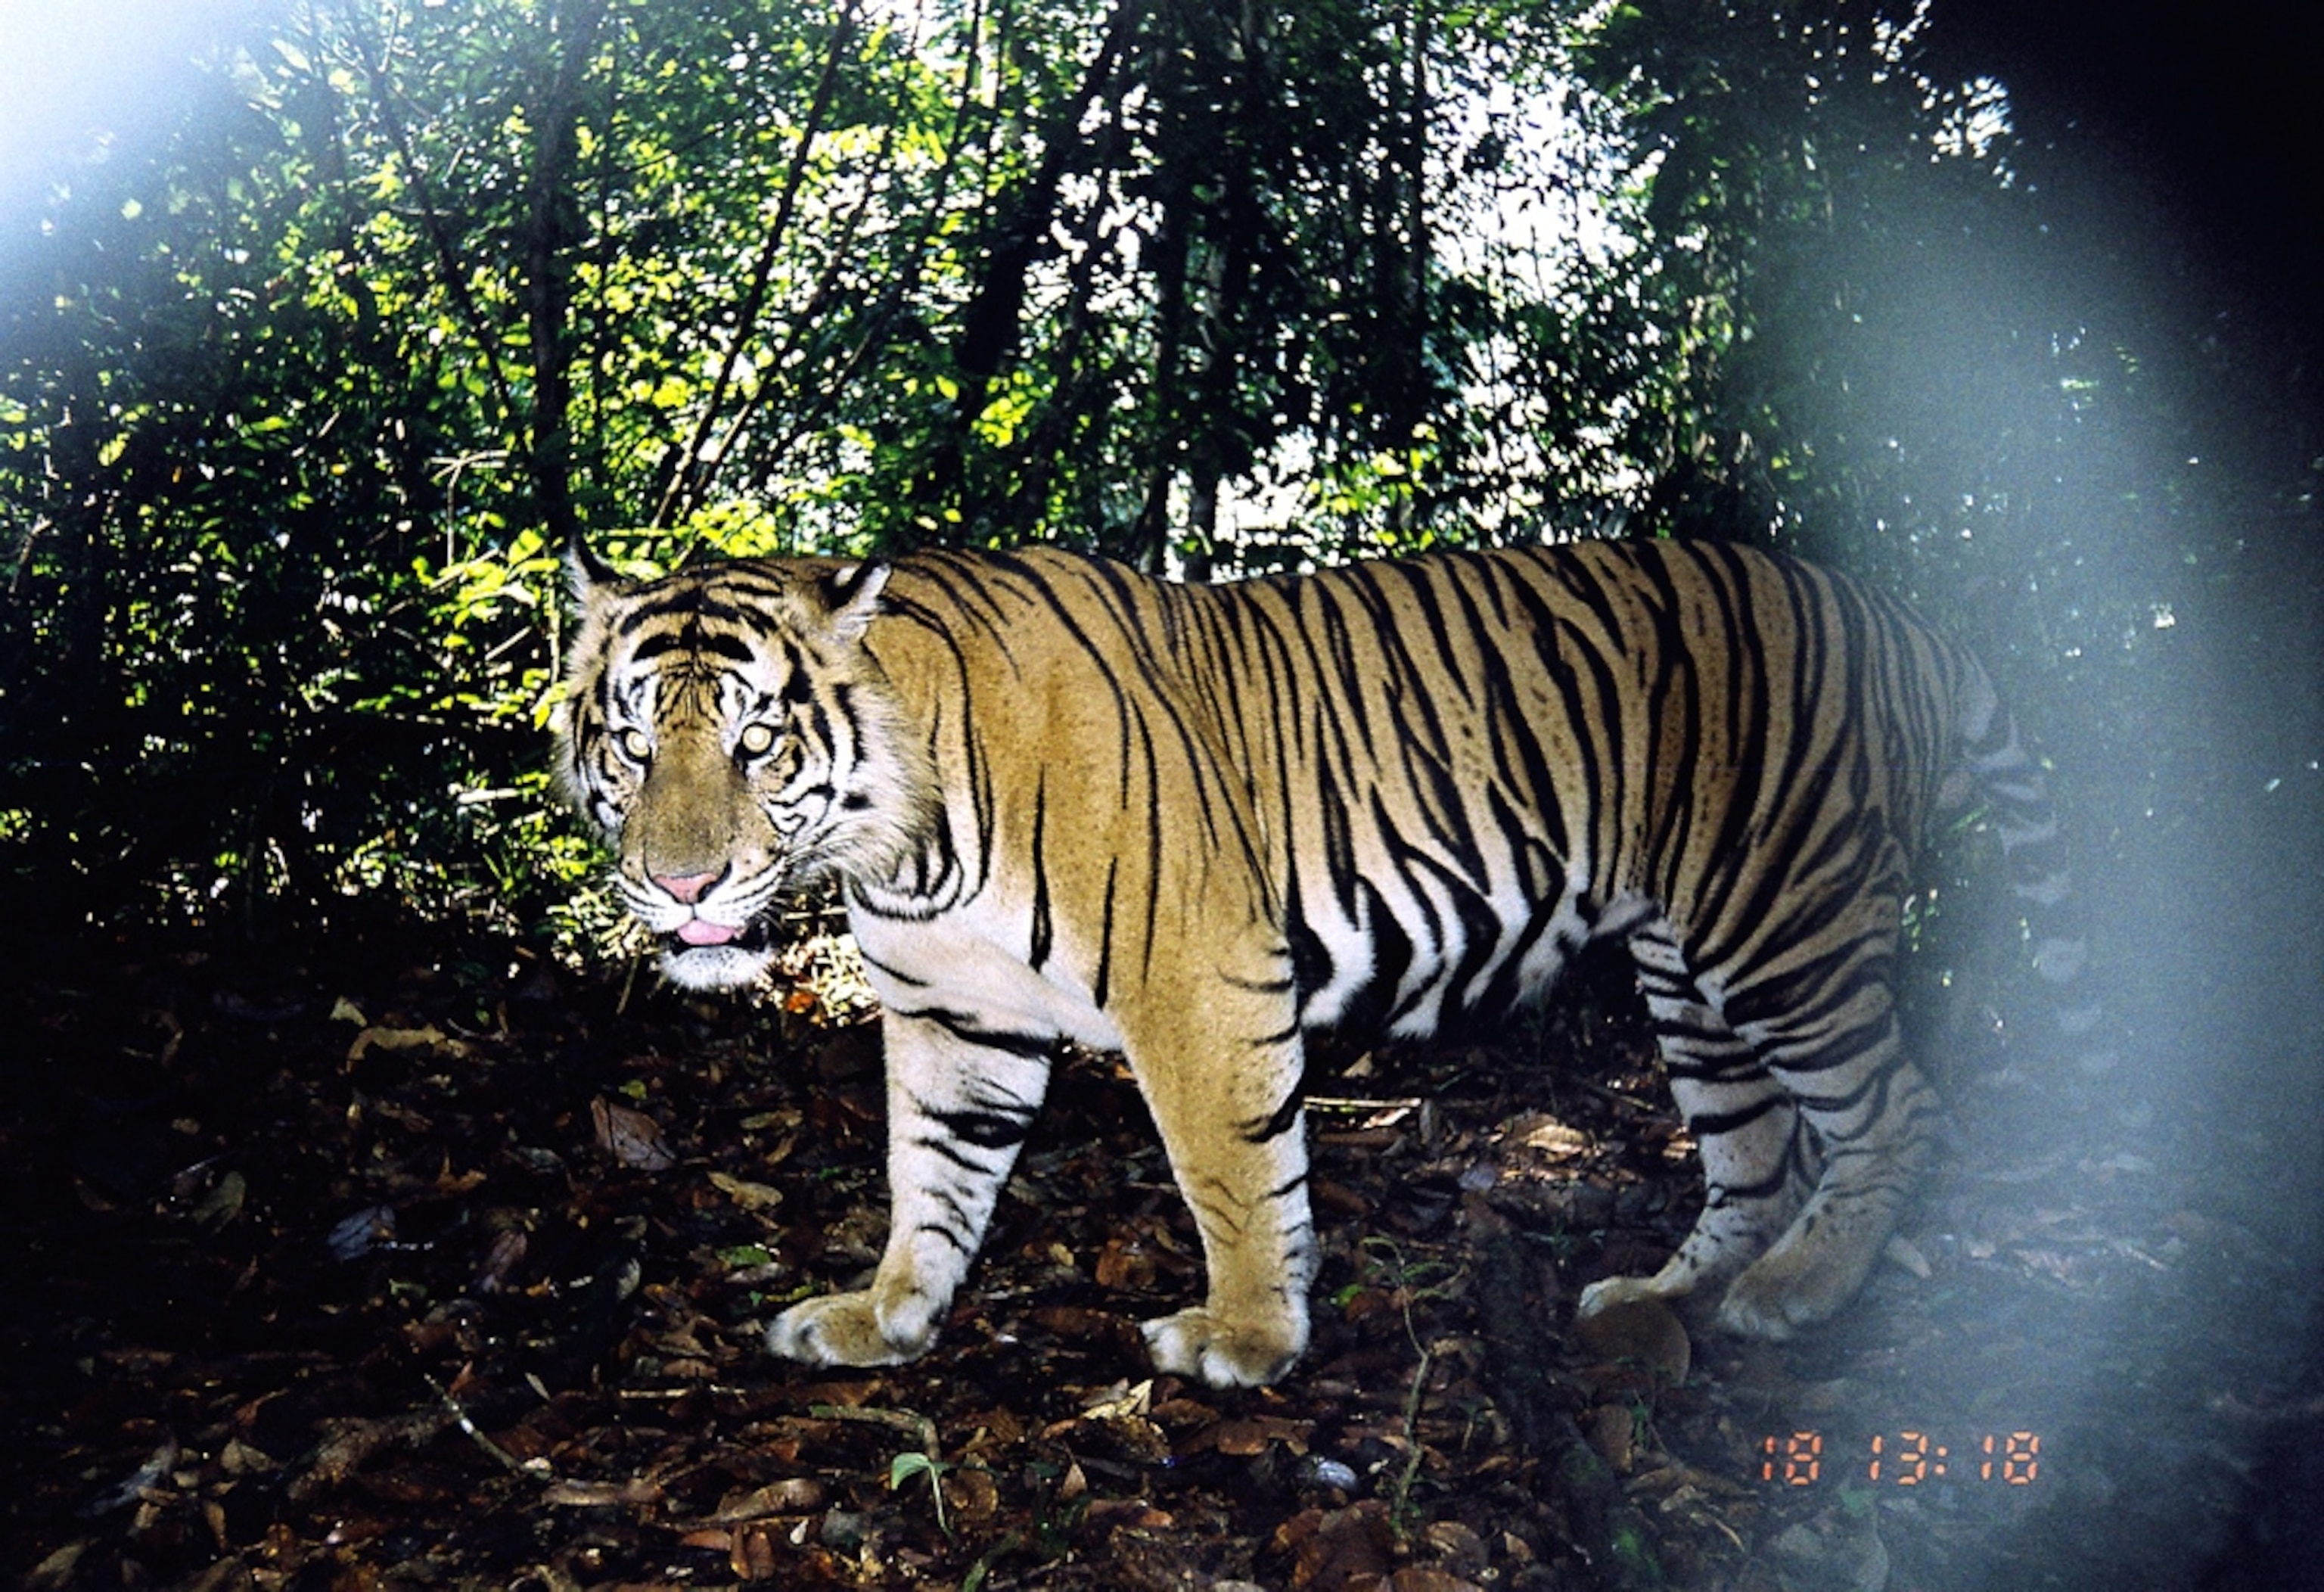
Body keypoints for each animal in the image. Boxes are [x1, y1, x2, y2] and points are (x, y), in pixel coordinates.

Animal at [554, 535, 2085, 1388]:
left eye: (756, 740)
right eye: (630, 740)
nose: (680, 880)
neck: (900, 845)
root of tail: (1900, 614)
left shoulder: (1197, 973)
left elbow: (1233, 1172)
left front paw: (1246, 1339)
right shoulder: (951, 1016)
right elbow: (928, 1174)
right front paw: (887, 1317)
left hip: (1780, 930)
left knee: (1896, 1109)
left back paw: (1799, 1291)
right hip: (1685, 971)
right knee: (1757, 1149)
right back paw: (1666, 1297)